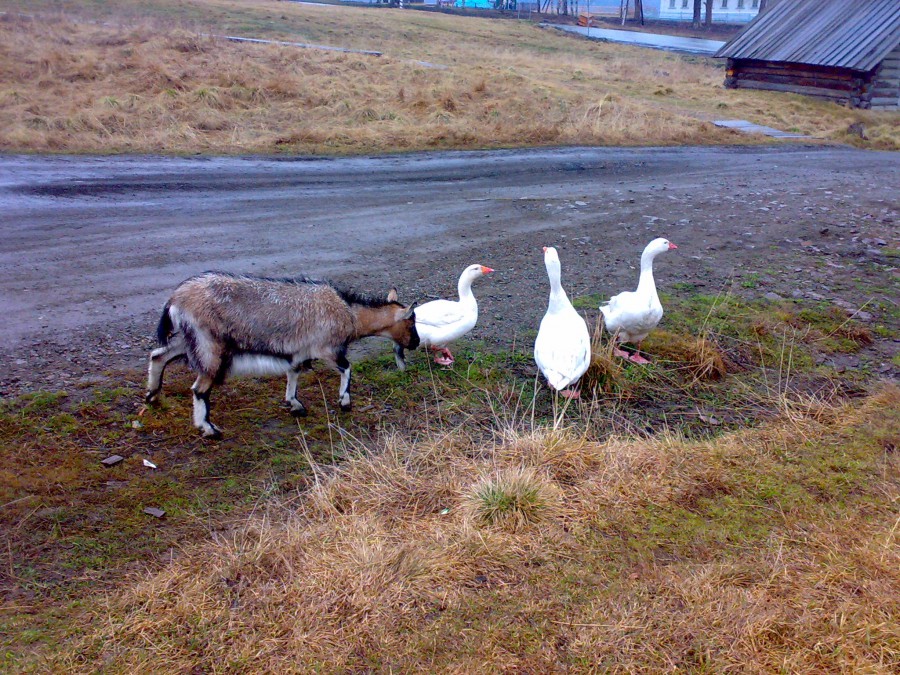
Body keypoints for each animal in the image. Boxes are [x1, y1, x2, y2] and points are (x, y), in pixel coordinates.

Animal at [144, 274, 418, 438]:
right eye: (411, 322)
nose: (415, 343)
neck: (350, 314)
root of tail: (174, 300)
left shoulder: (300, 350)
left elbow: (293, 372)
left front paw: (294, 404)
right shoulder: (325, 348)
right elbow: (347, 368)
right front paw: (344, 402)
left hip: (191, 339)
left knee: (159, 355)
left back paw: (152, 396)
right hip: (209, 344)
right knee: (199, 388)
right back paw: (209, 428)